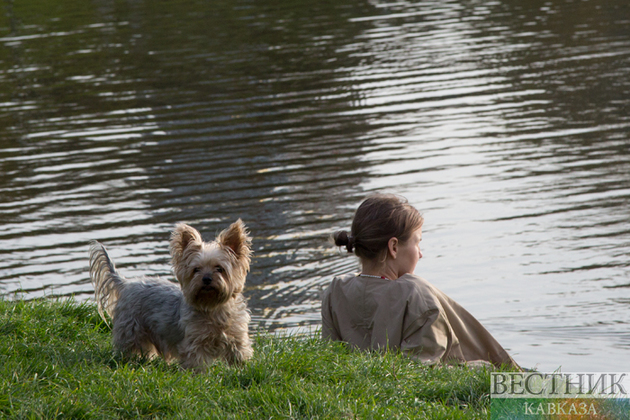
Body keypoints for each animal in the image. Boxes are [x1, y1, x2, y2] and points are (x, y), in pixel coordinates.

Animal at [88, 220, 254, 368]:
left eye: (219, 268)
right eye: (196, 269)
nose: (206, 279)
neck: (213, 307)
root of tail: (125, 283)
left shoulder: (237, 339)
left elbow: (239, 358)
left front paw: (241, 370)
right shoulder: (194, 344)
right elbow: (196, 365)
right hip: (131, 328)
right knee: (127, 348)